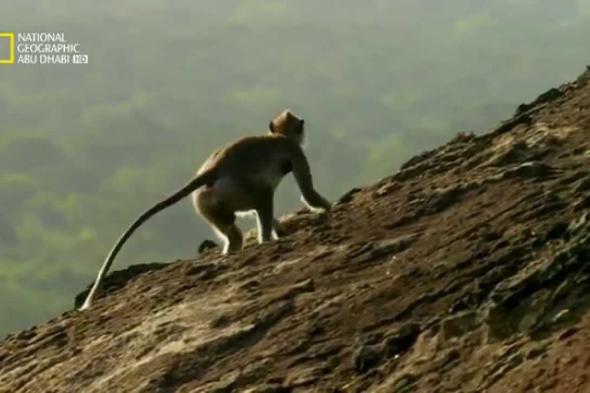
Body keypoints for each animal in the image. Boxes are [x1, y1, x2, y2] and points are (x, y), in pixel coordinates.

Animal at [81, 109, 332, 310]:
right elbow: (307, 192)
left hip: (204, 199)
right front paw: (329, 208)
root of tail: (214, 168)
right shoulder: (295, 151)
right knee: (263, 197)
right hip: (233, 189)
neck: (278, 136)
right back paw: (263, 242)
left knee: (233, 227)